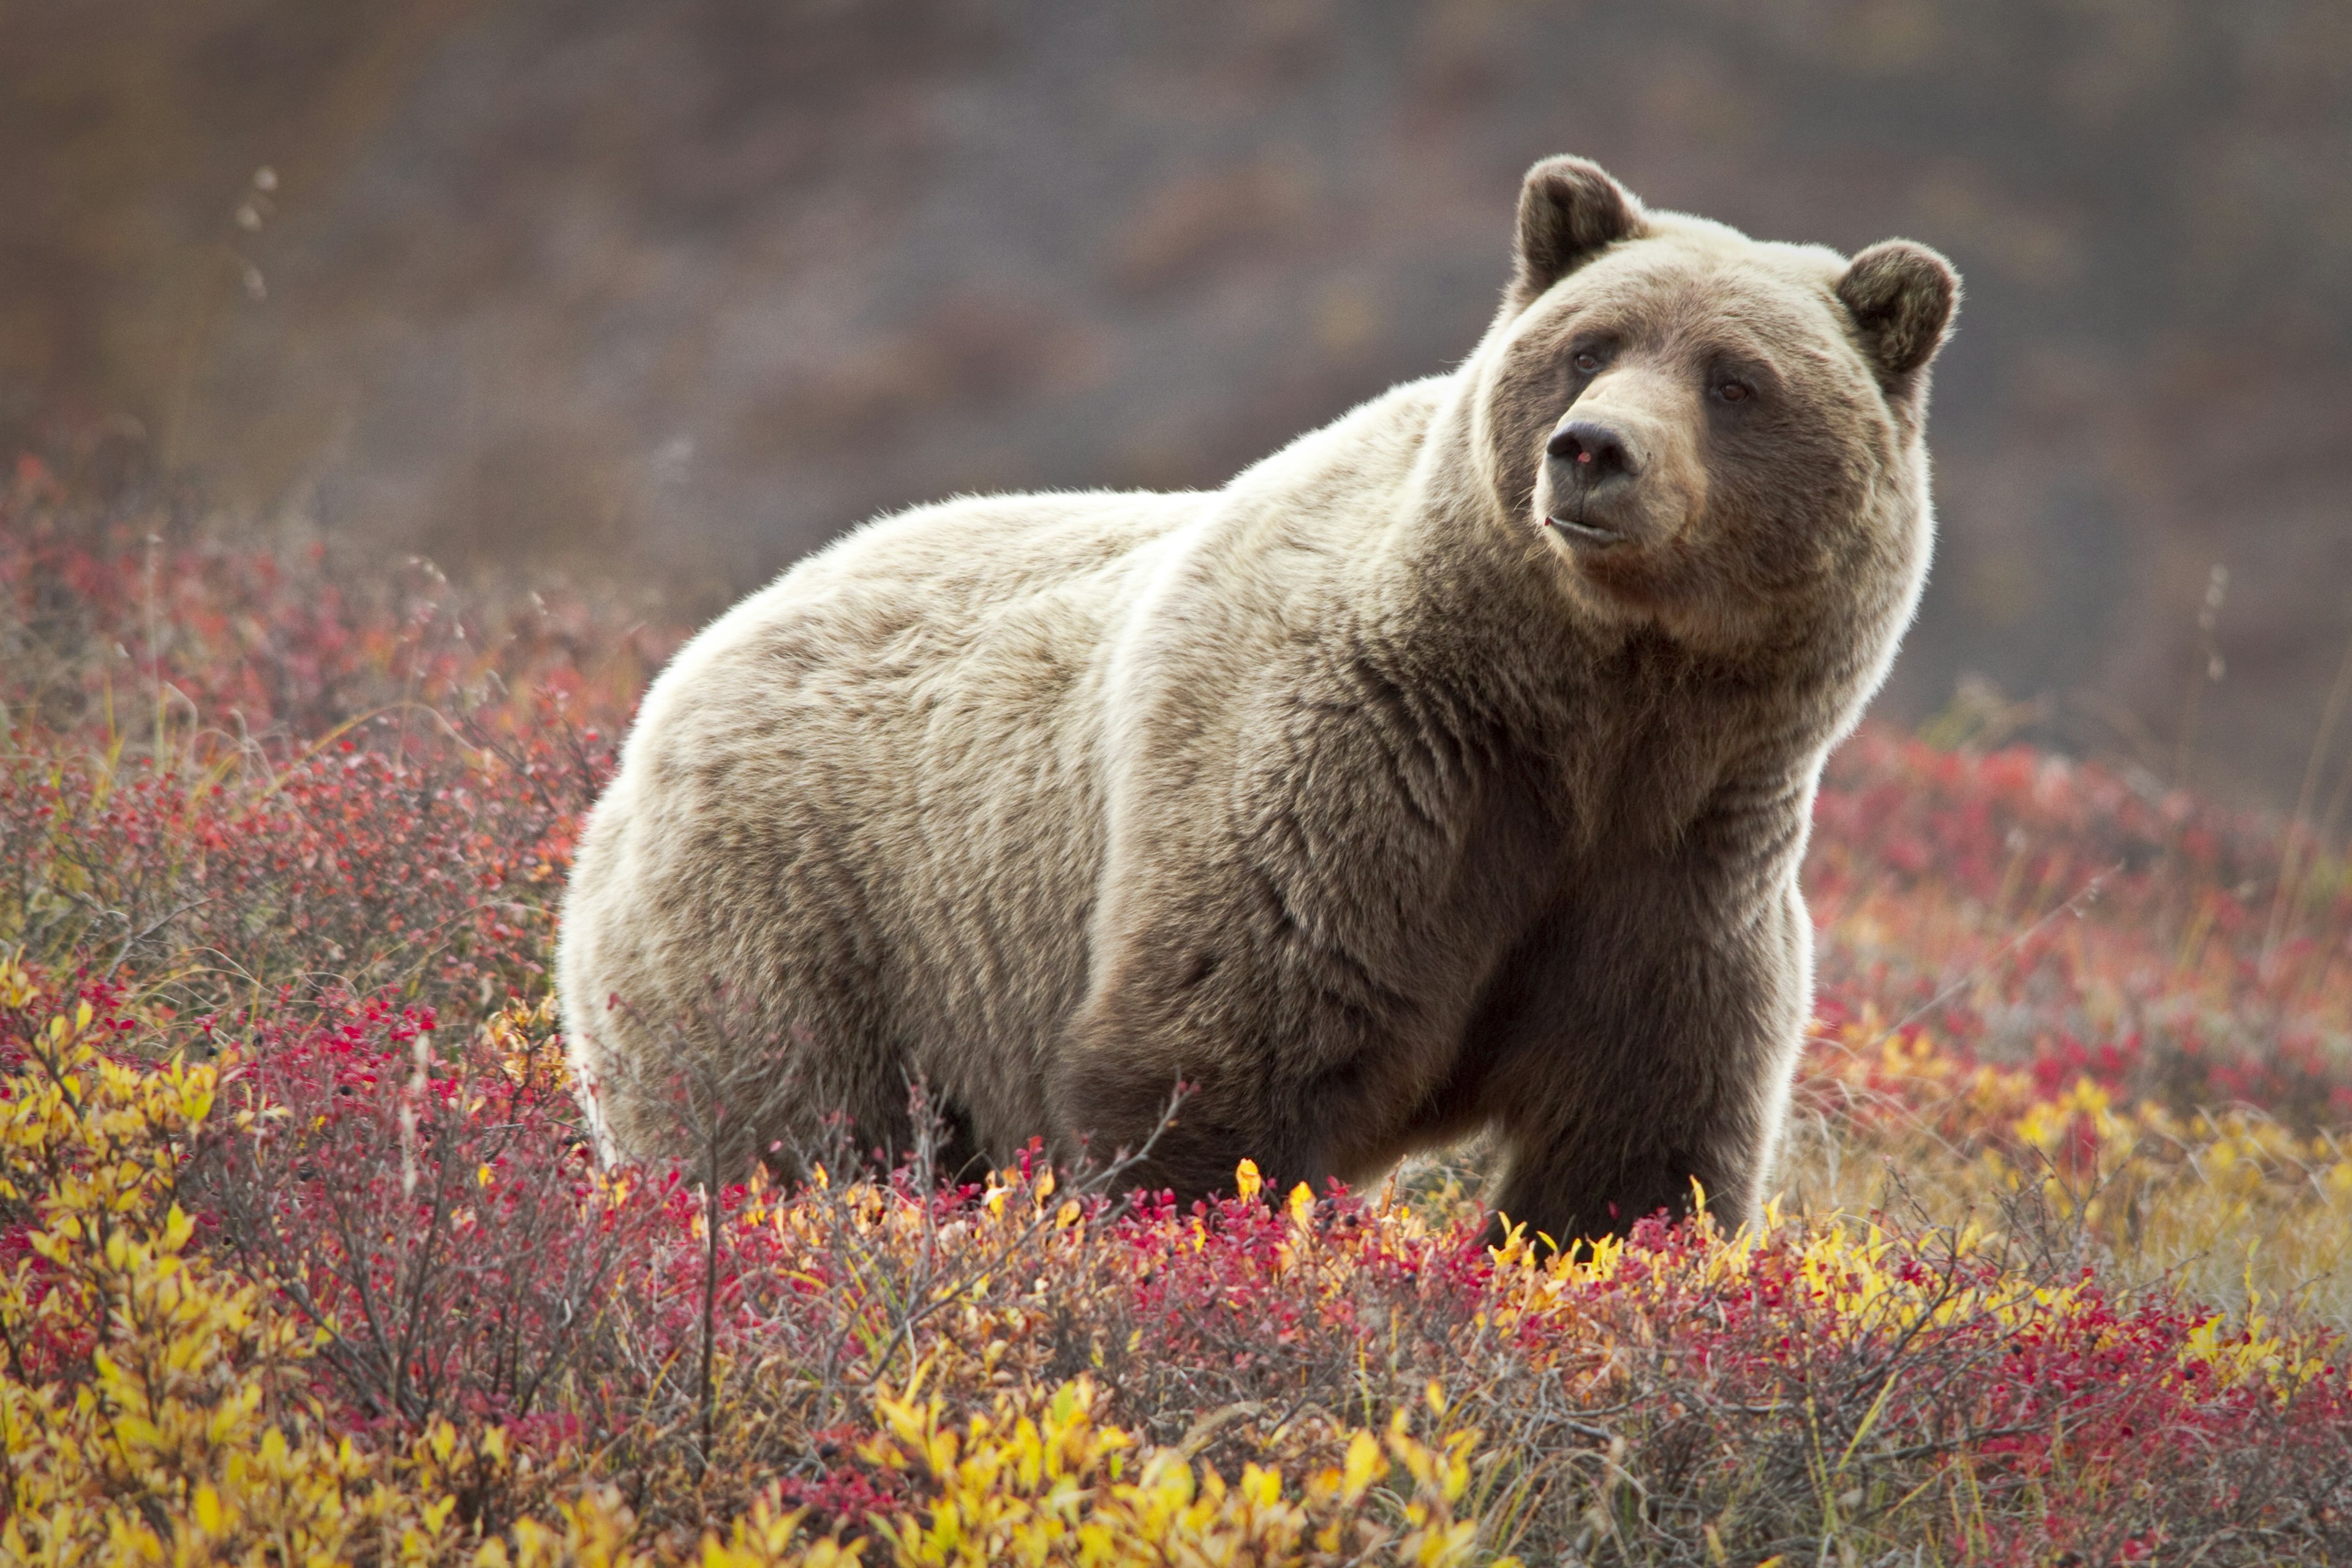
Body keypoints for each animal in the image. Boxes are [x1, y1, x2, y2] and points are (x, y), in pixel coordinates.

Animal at [550, 153, 1947, 1241]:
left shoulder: (1680, 874)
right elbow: (1218, 1082)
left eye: (1735, 378)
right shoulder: (1355, 782)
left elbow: (1637, 1157)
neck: (1585, 713)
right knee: (777, 1130)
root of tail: (682, 672)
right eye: (1586, 348)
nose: (1594, 452)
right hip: (803, 920)